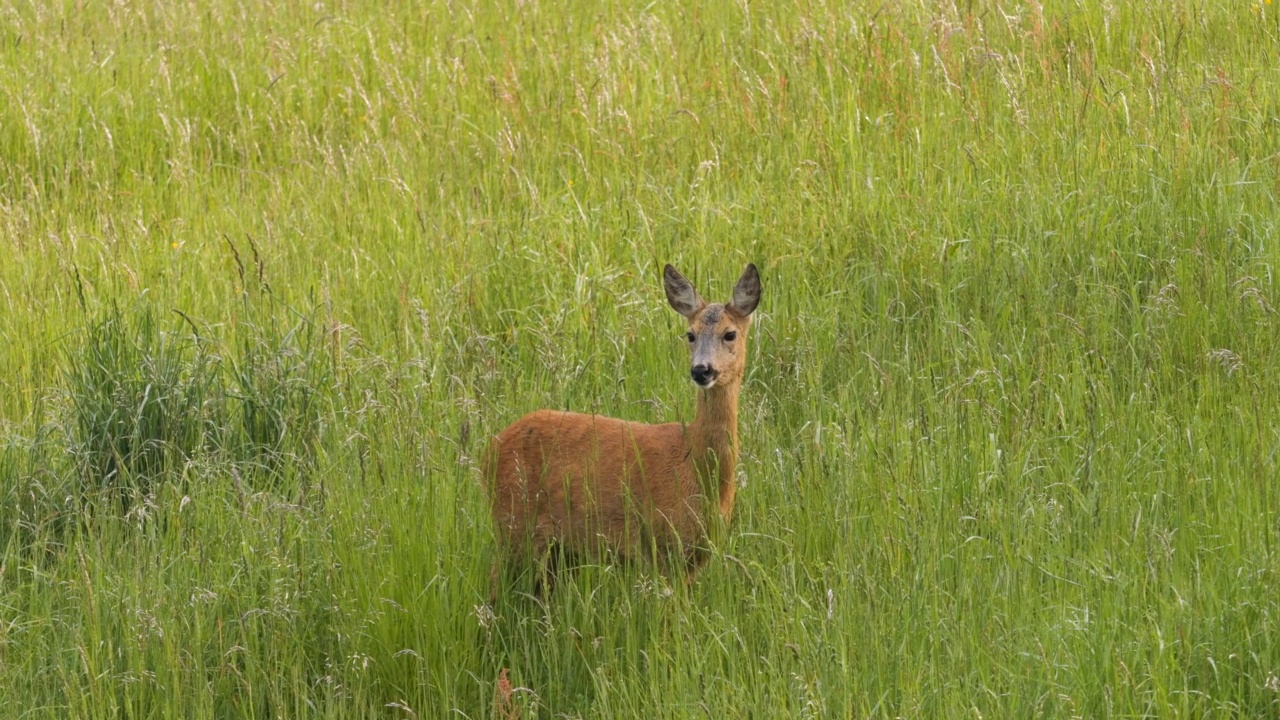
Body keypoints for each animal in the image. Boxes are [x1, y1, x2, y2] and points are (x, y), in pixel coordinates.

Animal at [483, 262, 752, 589]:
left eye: (730, 334)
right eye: (690, 334)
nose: (701, 370)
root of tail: (488, 451)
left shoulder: (692, 559)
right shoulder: (662, 545)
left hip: (556, 549)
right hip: (512, 525)